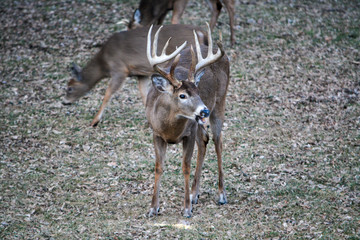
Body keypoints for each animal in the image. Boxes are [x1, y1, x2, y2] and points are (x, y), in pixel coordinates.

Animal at [63, 24, 207, 127]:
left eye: (70, 88)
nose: (64, 102)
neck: (104, 62)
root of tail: (201, 32)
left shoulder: (119, 70)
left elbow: (108, 94)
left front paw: (94, 121)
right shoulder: (140, 74)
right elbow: (144, 94)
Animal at [145, 23, 229, 218]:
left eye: (198, 92)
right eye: (182, 95)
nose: (204, 109)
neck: (170, 129)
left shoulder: (188, 134)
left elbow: (185, 167)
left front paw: (186, 209)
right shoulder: (156, 133)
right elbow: (158, 167)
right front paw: (153, 208)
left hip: (219, 103)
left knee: (218, 142)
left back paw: (221, 195)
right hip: (199, 122)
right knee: (204, 140)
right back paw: (194, 193)